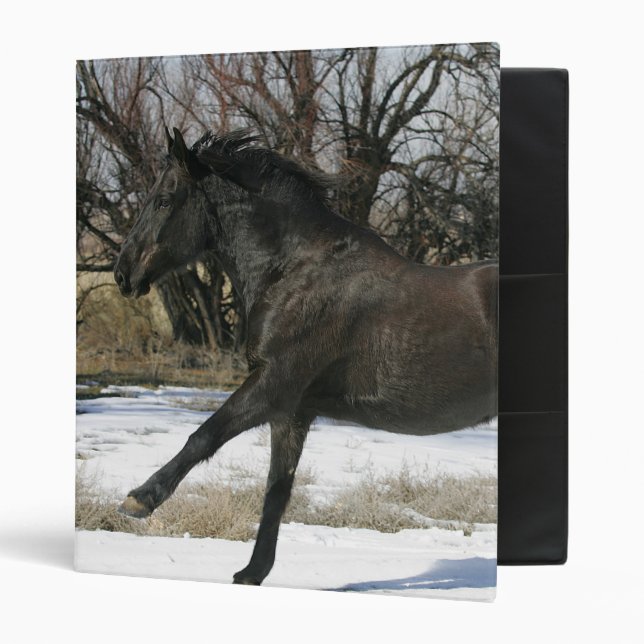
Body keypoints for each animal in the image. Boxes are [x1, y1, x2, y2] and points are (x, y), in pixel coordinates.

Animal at [114, 127, 498, 585]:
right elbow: (277, 489)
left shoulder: (273, 385)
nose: (122, 274)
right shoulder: (293, 412)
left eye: (164, 199)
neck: (294, 272)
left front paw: (139, 500)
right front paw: (251, 573)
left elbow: (203, 436)